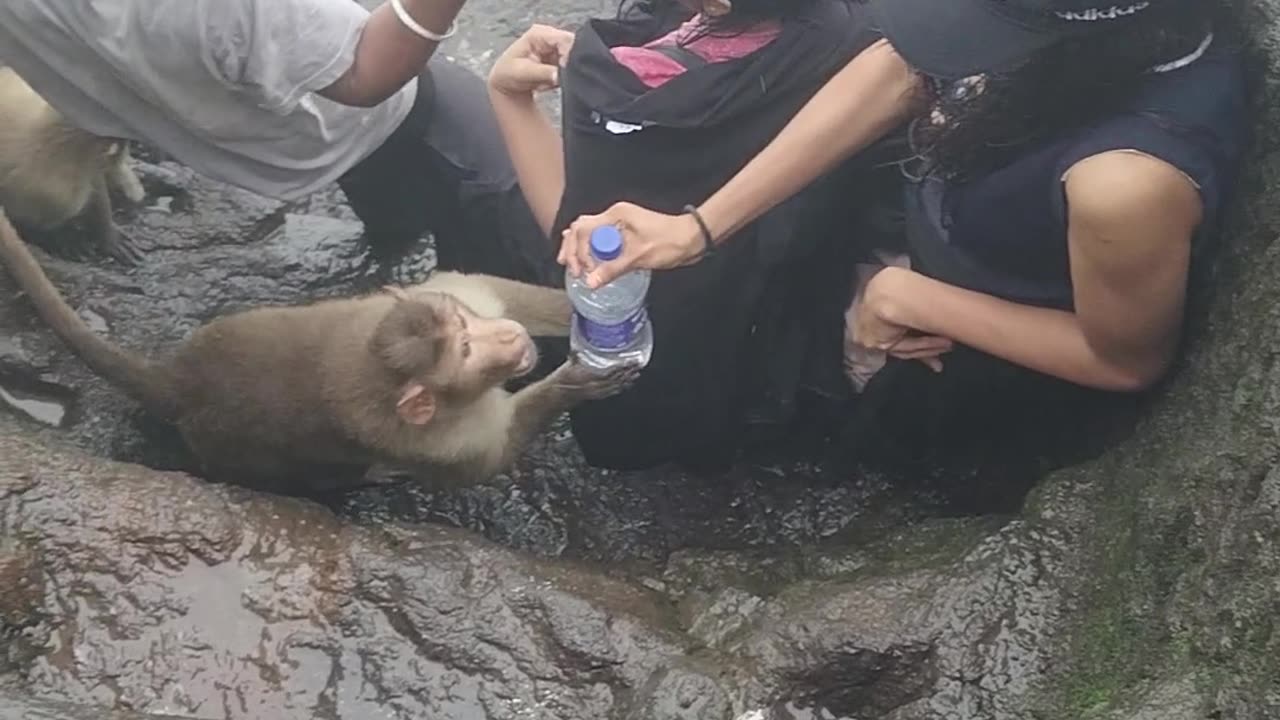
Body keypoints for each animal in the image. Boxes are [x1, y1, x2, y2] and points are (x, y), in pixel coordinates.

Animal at [0, 211, 637, 490]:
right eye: (463, 350)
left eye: (463, 323)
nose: (504, 338)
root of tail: (181, 379)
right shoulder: (443, 441)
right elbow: (491, 459)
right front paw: (575, 382)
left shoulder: (453, 292)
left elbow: (498, 288)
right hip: (239, 455)